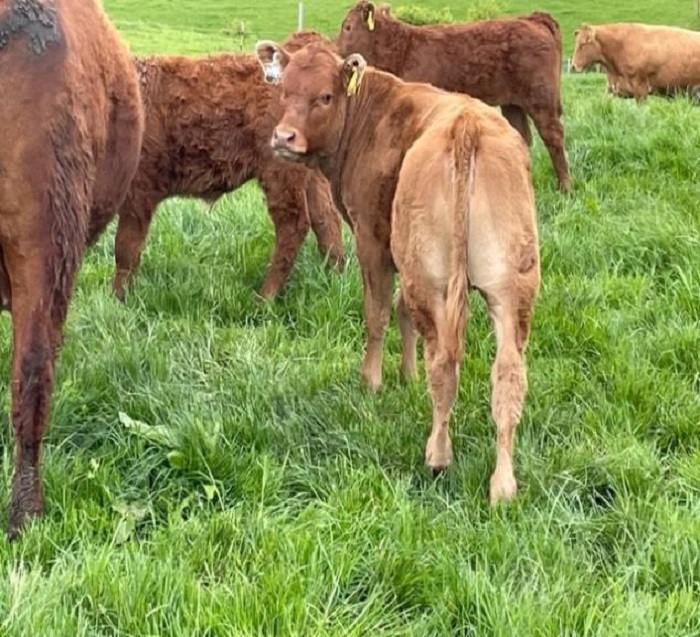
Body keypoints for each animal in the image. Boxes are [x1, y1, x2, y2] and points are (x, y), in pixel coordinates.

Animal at [113, 30, 344, 301]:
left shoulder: (138, 191)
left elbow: (125, 249)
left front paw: (118, 299)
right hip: (310, 174)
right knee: (326, 218)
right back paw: (335, 279)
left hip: (280, 171)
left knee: (294, 223)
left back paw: (265, 297)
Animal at [255, 40, 540, 503]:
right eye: (284, 91)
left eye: (325, 96)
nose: (284, 138)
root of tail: (467, 124)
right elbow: (404, 313)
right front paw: (407, 376)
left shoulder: (373, 239)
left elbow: (378, 312)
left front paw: (372, 381)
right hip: (509, 287)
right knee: (508, 373)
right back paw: (503, 484)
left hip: (433, 278)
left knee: (444, 362)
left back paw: (438, 456)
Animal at [335, 1, 571, 192]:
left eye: (347, 26)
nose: (337, 54)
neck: (403, 49)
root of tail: (532, 18)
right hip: (513, 104)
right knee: (522, 136)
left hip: (541, 100)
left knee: (554, 136)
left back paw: (565, 187)